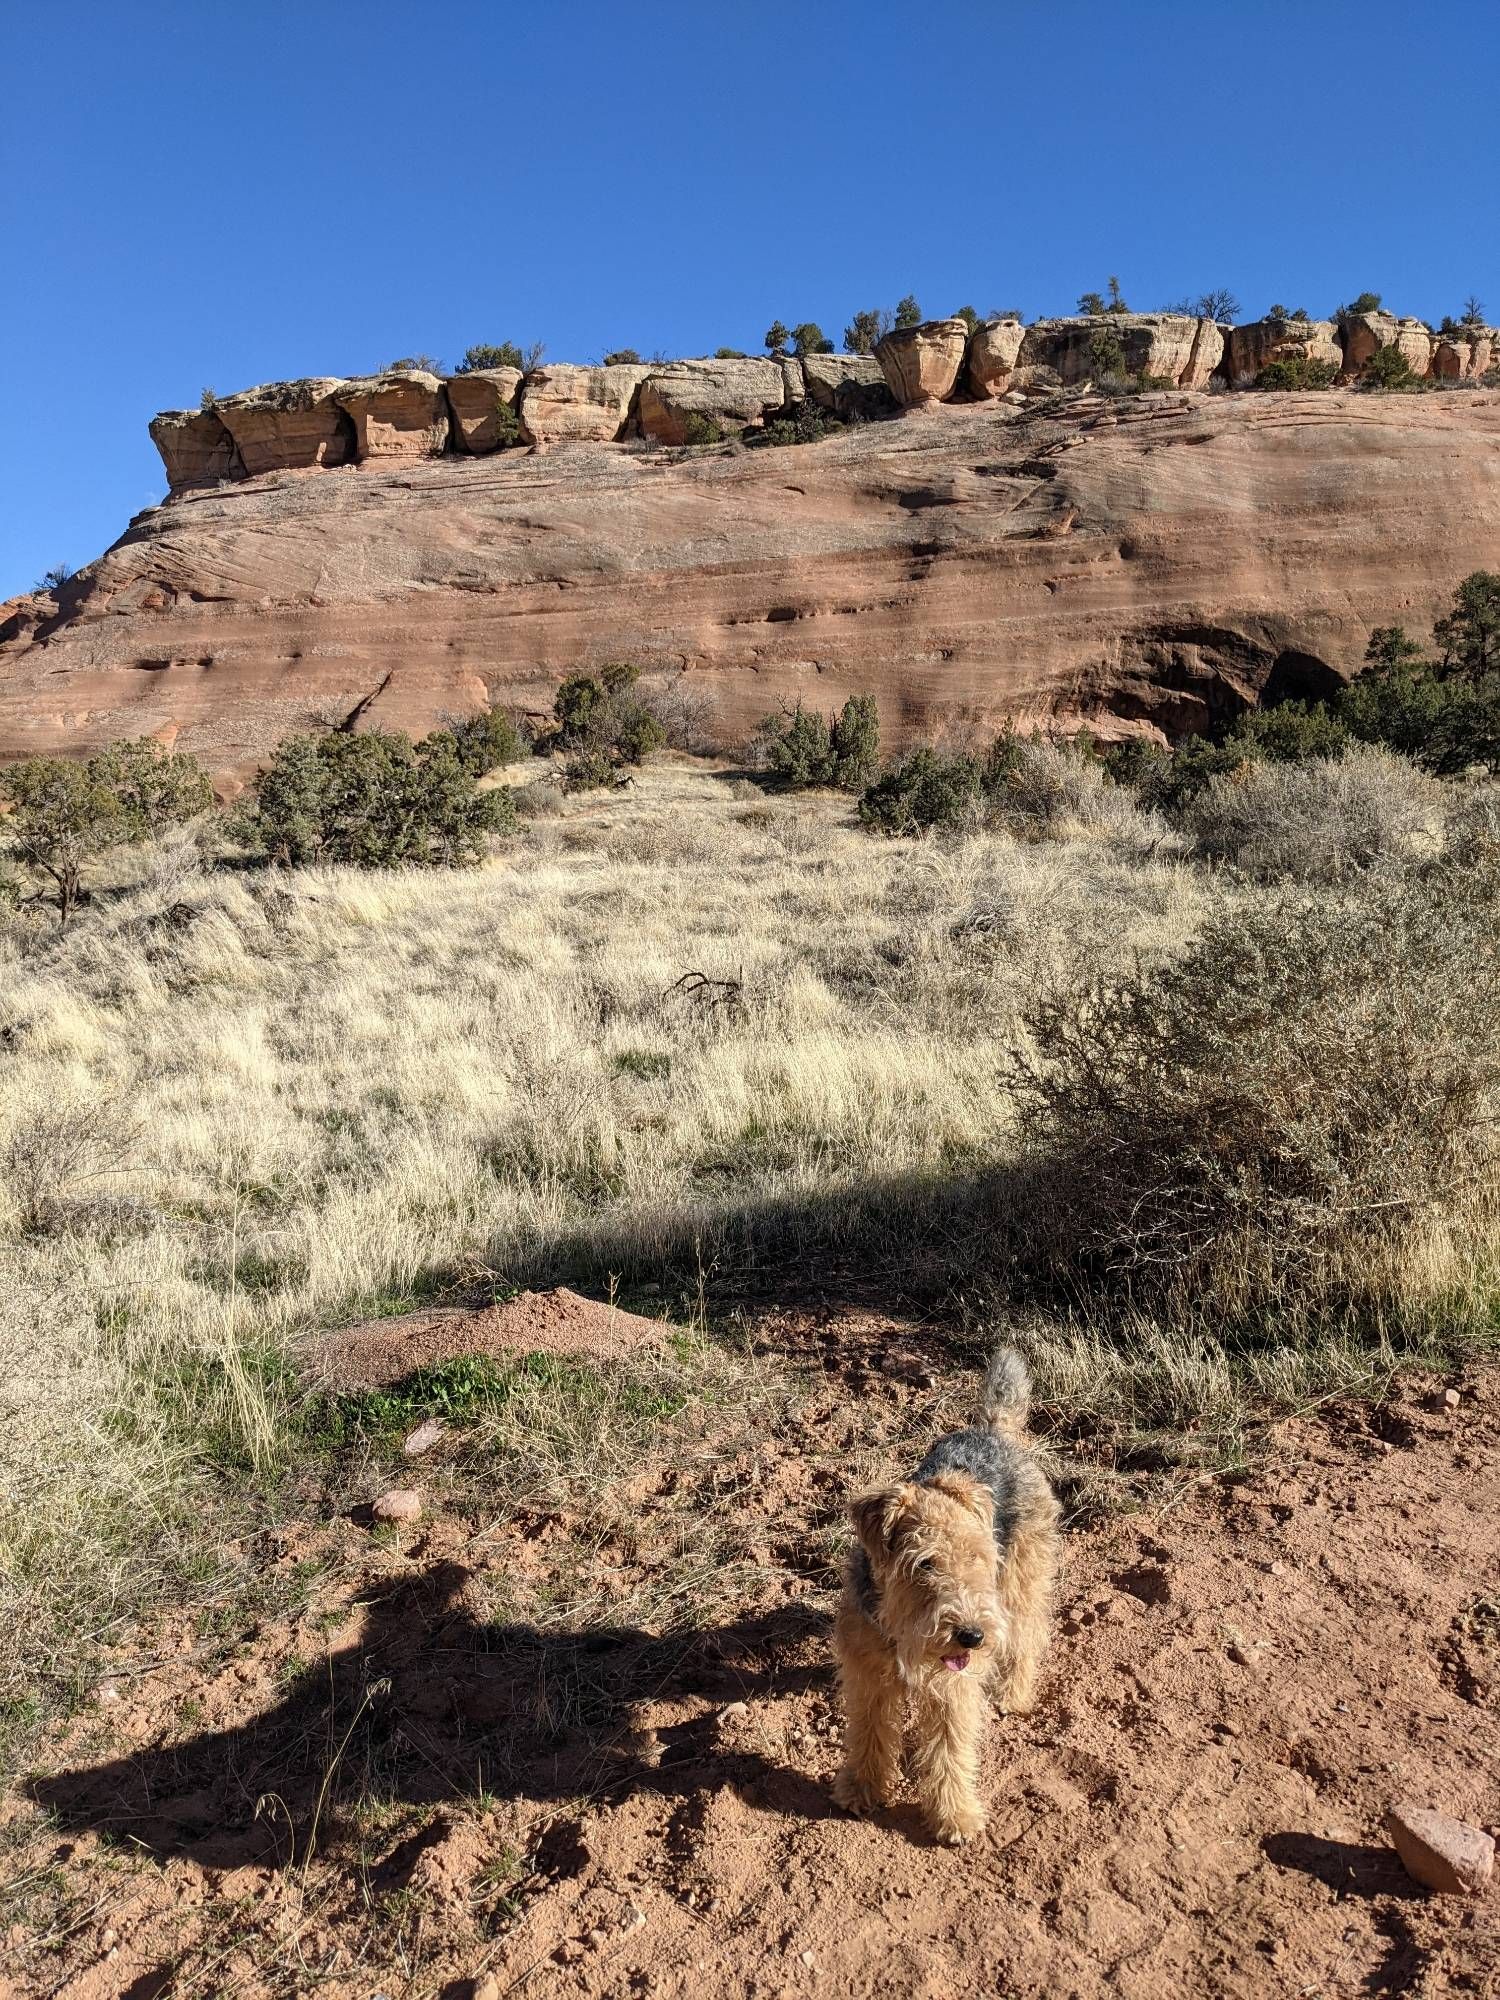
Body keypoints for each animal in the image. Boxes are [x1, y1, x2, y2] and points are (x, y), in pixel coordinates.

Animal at [836, 1344, 1056, 1840]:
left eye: (978, 1555)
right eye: (924, 1563)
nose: (972, 1636)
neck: (899, 1626)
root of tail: (993, 1430)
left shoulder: (953, 1689)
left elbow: (950, 1752)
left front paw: (954, 1816)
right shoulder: (868, 1675)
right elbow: (868, 1733)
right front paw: (861, 1789)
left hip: (1023, 1575)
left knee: (1028, 1634)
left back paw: (1012, 1694)